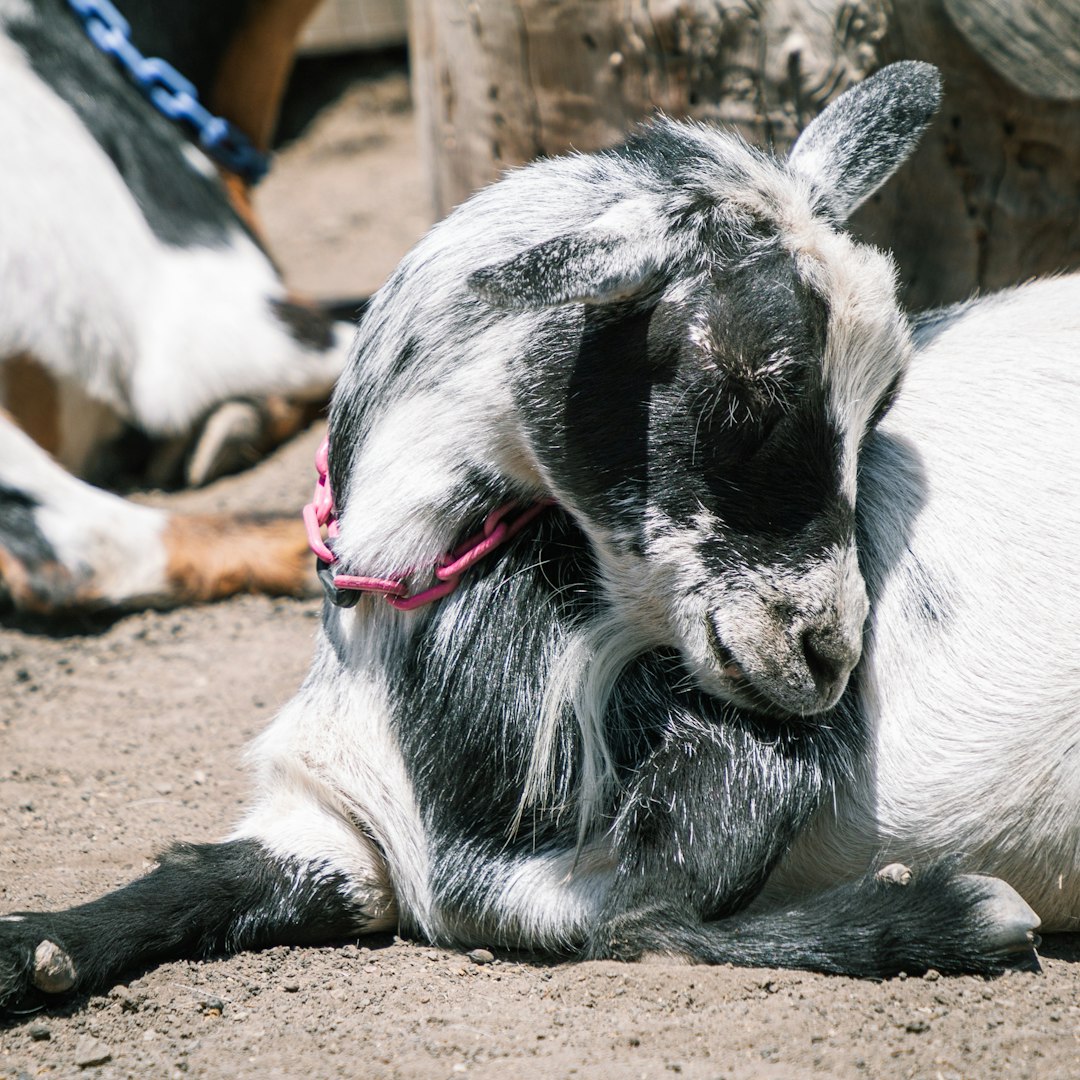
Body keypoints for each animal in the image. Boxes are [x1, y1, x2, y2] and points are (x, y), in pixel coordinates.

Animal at [2, 59, 1071, 997]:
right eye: (747, 396)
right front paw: (36, 949)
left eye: (884, 406)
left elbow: (640, 923)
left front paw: (951, 915)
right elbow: (186, 878)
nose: (829, 657)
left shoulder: (731, 771)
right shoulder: (337, 817)